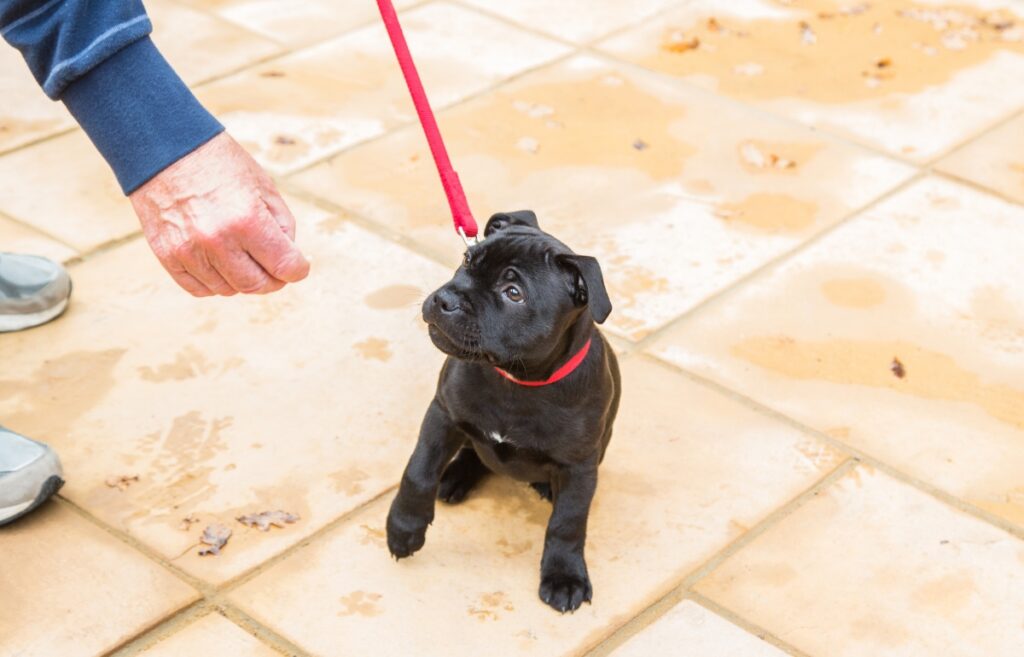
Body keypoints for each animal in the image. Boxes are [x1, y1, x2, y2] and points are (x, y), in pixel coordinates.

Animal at [385, 208, 618, 609]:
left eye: (514, 294)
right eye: (467, 260)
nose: (444, 299)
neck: (517, 382)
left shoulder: (580, 466)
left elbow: (568, 523)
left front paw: (564, 576)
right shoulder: (443, 414)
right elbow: (418, 472)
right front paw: (404, 528)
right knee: (472, 454)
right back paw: (454, 476)